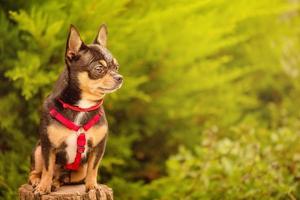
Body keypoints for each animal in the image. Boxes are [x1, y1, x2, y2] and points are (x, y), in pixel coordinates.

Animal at [28, 24, 122, 195]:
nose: (120, 77)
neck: (82, 107)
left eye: (116, 67)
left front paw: (93, 187)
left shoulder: (98, 148)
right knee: (37, 172)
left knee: (63, 177)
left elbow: (93, 169)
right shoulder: (48, 146)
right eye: (99, 69)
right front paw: (43, 187)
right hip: (38, 149)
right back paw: (39, 181)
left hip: (78, 172)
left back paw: (56, 182)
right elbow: (47, 168)